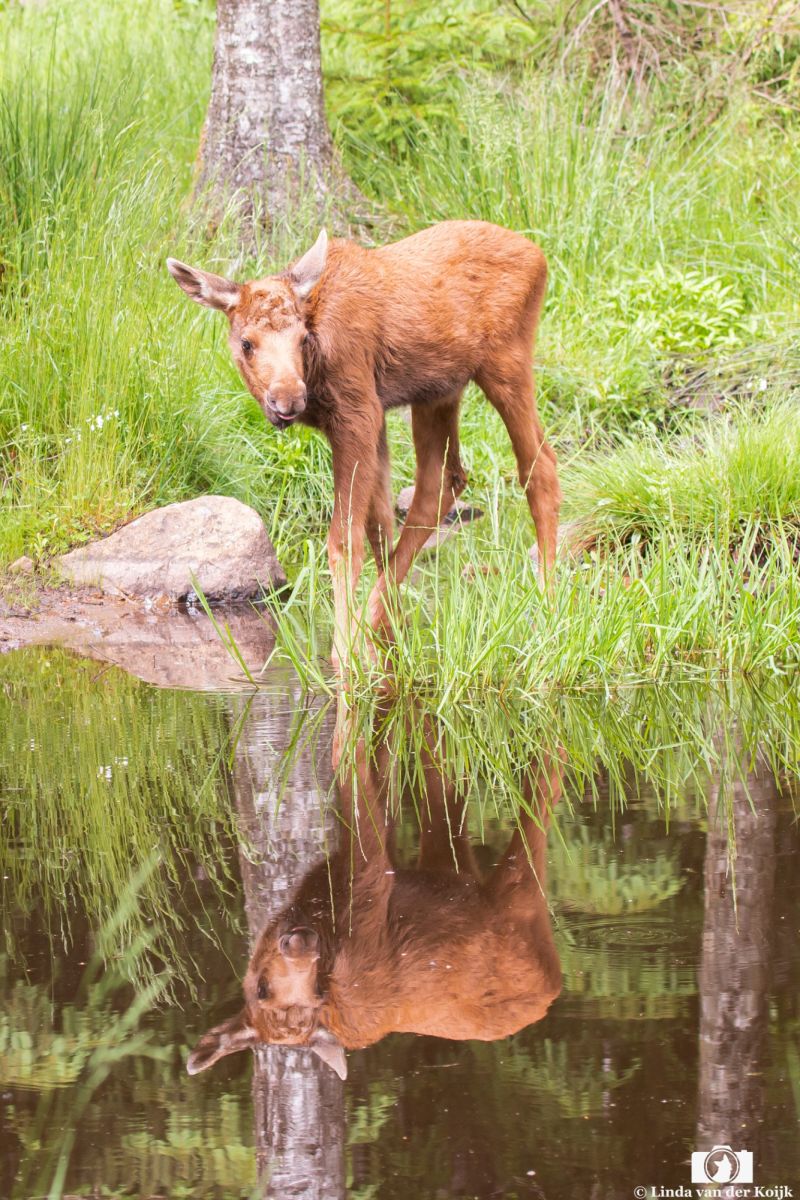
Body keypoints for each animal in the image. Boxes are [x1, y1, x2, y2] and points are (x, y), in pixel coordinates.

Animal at [167, 220, 561, 672]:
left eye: (302, 337)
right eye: (247, 342)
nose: (288, 398)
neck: (315, 372)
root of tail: (539, 256)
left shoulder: (358, 411)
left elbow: (345, 539)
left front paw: (343, 652)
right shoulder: (374, 416)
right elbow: (379, 524)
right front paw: (372, 639)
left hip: (506, 363)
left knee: (539, 467)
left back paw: (547, 602)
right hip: (438, 392)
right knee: (443, 481)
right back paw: (382, 621)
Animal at [185, 709, 563, 1080]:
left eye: (314, 991)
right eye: (261, 989)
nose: (302, 944)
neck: (316, 909)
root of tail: (553, 986)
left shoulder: (369, 880)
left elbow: (346, 753)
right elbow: (377, 761)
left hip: (517, 891)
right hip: (452, 867)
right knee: (441, 767)